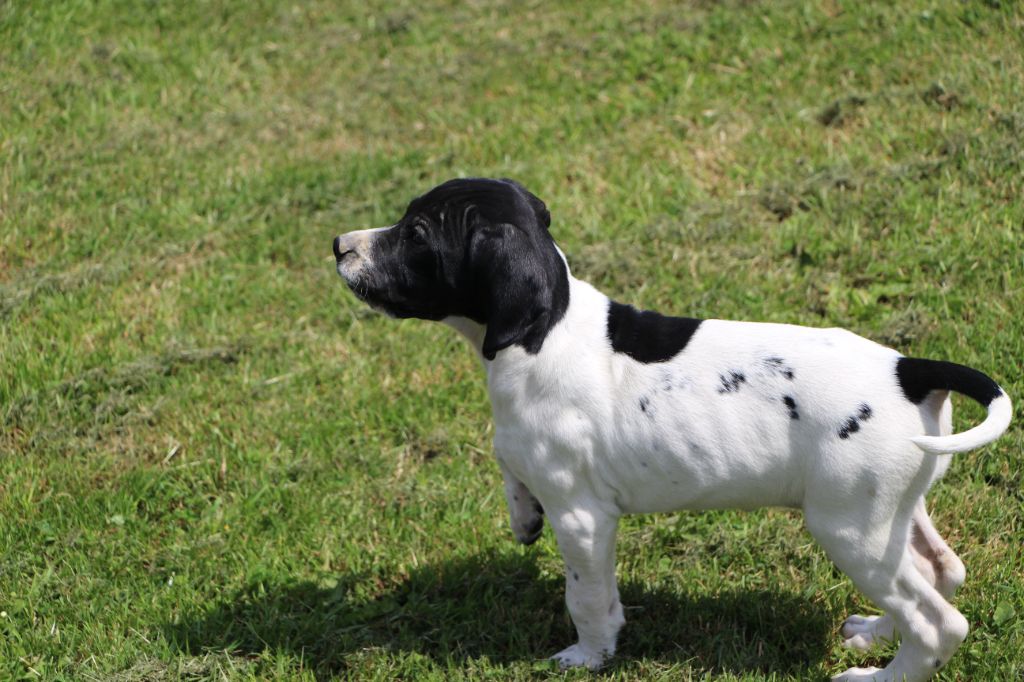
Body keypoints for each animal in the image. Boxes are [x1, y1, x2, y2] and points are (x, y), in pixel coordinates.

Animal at [332, 177, 1012, 681]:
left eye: (417, 233)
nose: (339, 243)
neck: (545, 331)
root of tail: (909, 369)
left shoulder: (583, 520)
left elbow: (587, 598)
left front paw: (589, 656)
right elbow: (513, 475)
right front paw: (521, 515)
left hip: (849, 529)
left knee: (939, 621)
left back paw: (884, 674)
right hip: (893, 512)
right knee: (941, 573)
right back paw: (875, 632)